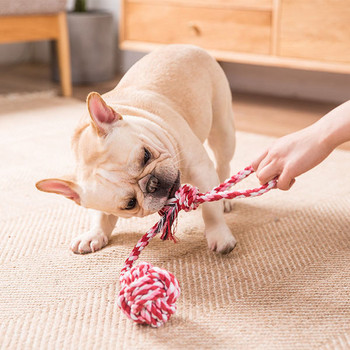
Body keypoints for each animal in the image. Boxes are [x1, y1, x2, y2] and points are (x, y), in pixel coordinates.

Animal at [35, 45, 237, 254]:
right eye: (130, 204)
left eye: (145, 155)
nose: (152, 184)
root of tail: (185, 46)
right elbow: (101, 216)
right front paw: (94, 234)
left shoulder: (201, 168)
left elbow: (211, 210)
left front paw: (219, 234)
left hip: (222, 128)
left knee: (223, 162)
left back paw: (224, 196)